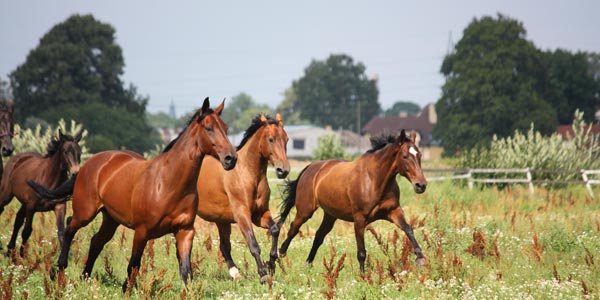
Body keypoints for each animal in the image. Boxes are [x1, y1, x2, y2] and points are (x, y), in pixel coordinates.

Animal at [28, 98, 237, 290]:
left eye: (226, 128)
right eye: (209, 128)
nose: (231, 158)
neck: (168, 183)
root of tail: (89, 164)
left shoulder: (185, 231)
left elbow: (186, 271)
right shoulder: (142, 231)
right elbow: (133, 265)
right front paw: (127, 289)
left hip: (110, 219)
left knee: (96, 241)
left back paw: (85, 278)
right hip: (85, 213)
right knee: (70, 227)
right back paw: (58, 269)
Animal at [197, 113, 290, 282]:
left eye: (286, 139)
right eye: (271, 139)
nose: (283, 170)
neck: (247, 173)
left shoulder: (260, 214)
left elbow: (275, 229)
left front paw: (271, 264)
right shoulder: (242, 214)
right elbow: (253, 244)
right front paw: (263, 274)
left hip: (222, 221)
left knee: (224, 246)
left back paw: (235, 273)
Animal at [278, 130, 428, 274]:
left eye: (419, 155)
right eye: (405, 156)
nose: (421, 185)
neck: (374, 179)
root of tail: (310, 167)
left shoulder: (393, 211)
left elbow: (408, 228)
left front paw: (420, 258)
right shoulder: (359, 219)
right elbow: (361, 251)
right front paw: (362, 275)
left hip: (330, 215)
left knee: (319, 236)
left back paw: (308, 264)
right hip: (305, 210)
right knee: (293, 228)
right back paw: (281, 253)